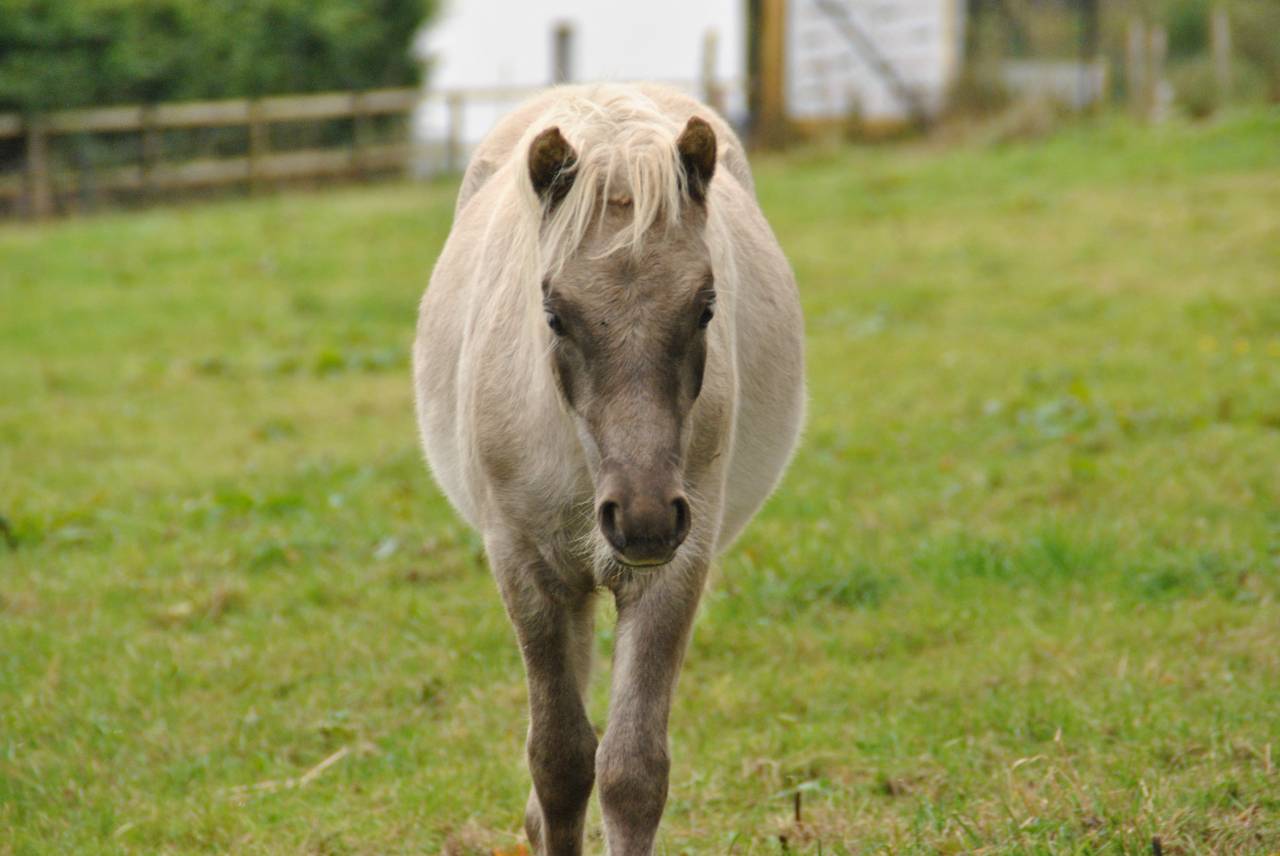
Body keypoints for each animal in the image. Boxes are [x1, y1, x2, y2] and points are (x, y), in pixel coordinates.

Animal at [413, 83, 804, 855]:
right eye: (554, 313)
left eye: (706, 306)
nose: (643, 517)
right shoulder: (527, 568)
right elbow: (561, 765)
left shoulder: (675, 568)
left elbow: (630, 770)